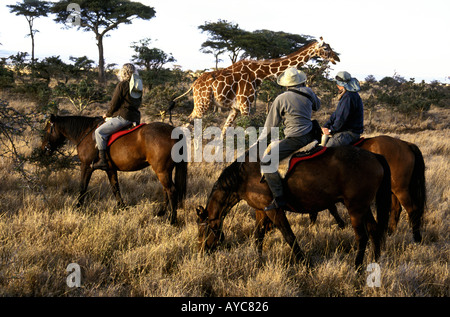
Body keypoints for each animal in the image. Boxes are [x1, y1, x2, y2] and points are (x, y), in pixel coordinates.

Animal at [41, 113, 187, 222]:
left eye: (47, 130)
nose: (44, 149)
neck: (86, 134)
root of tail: (174, 131)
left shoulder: (86, 166)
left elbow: (82, 187)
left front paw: (77, 208)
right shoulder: (110, 169)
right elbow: (115, 188)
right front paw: (122, 207)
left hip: (162, 171)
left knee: (171, 190)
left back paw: (171, 220)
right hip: (164, 171)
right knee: (166, 190)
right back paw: (161, 212)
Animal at [171, 37, 338, 133]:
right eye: (326, 48)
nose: (337, 57)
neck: (258, 74)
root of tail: (194, 84)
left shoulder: (235, 108)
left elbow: (224, 133)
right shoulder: (246, 106)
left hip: (200, 104)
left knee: (187, 123)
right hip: (202, 104)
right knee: (188, 125)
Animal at [197, 144, 390, 268]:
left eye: (202, 231)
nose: (201, 252)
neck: (244, 177)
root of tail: (374, 156)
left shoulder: (274, 210)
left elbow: (289, 236)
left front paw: (305, 264)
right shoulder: (261, 211)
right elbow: (258, 236)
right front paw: (257, 260)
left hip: (355, 209)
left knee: (362, 237)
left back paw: (357, 267)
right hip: (363, 208)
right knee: (374, 231)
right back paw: (375, 262)